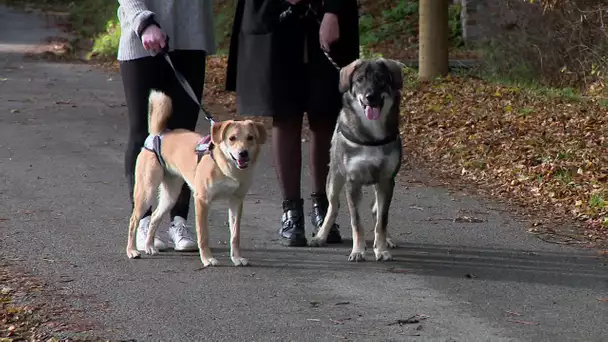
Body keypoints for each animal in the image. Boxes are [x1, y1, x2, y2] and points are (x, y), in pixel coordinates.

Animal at [124, 91, 264, 268]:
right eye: (232, 138)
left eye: (250, 138)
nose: (243, 153)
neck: (226, 166)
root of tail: (159, 134)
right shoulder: (202, 200)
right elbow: (203, 235)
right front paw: (207, 258)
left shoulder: (236, 201)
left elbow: (235, 235)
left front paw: (237, 258)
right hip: (146, 191)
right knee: (133, 220)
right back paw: (132, 250)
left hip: (171, 195)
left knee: (155, 216)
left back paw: (150, 246)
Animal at [308, 58, 404, 262]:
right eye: (359, 79)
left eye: (381, 78)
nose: (370, 97)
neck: (372, 135)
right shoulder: (352, 183)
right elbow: (356, 222)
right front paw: (358, 251)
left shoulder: (386, 181)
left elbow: (382, 221)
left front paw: (381, 249)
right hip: (334, 180)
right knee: (333, 208)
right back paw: (321, 236)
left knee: (377, 212)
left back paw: (386, 240)